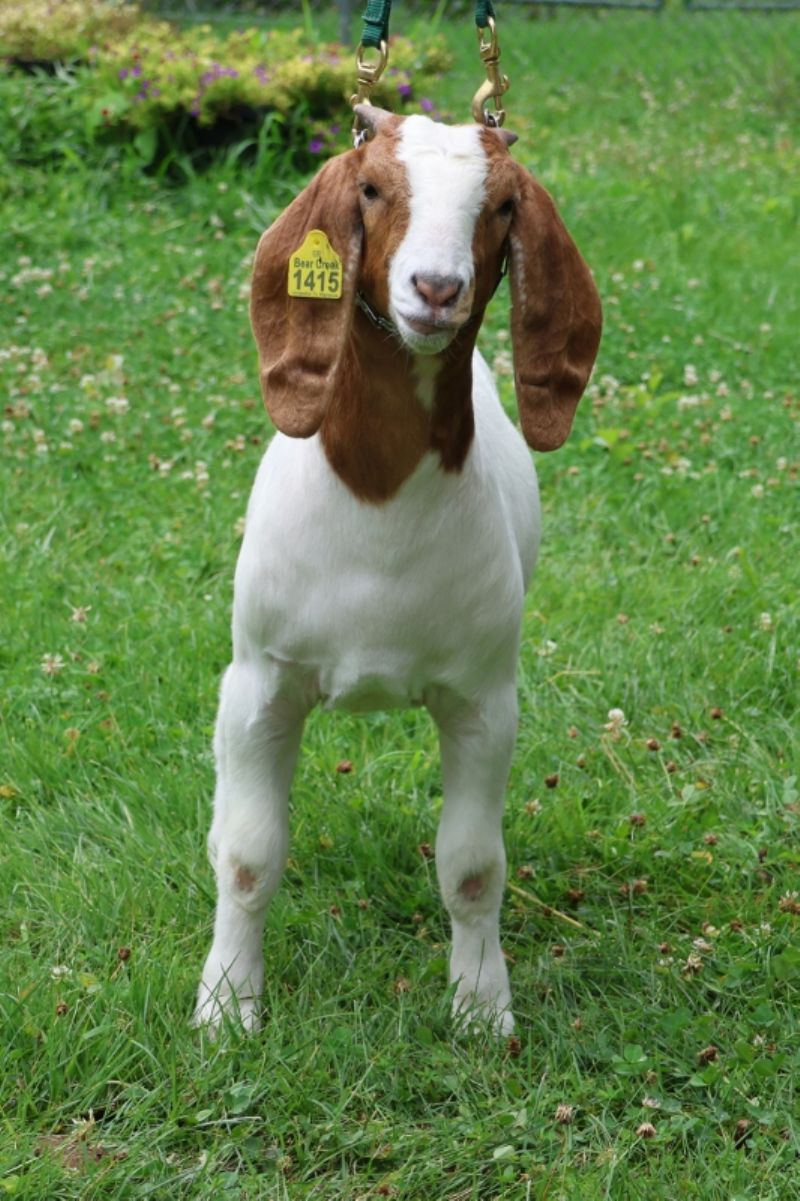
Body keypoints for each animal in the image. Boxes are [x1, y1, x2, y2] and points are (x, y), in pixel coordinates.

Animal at [194, 106, 602, 1035]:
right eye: (373, 187)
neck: (376, 504)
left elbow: (473, 867)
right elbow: (246, 857)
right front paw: (228, 1007)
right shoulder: (259, 685)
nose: (438, 289)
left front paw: (482, 1008)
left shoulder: (485, 701)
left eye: (503, 204)